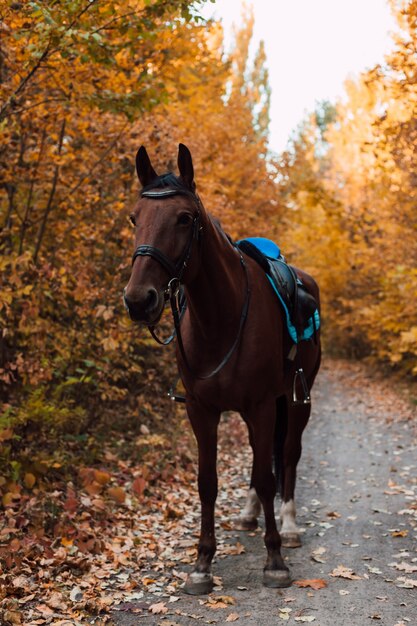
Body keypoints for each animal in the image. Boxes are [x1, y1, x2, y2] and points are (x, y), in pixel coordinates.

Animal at [122, 144, 320, 592]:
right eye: (134, 218)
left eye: (185, 218)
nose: (140, 300)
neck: (221, 318)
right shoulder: (202, 410)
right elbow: (208, 482)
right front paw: (202, 563)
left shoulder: (263, 405)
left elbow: (267, 475)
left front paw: (275, 558)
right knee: (260, 457)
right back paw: (248, 514)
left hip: (295, 401)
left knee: (287, 454)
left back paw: (290, 525)